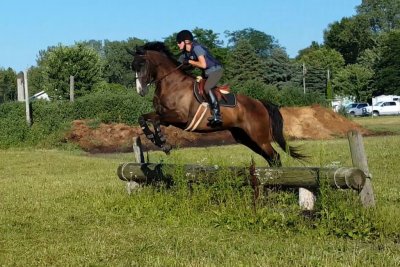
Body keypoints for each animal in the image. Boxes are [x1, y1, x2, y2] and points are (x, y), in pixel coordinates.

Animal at [130, 41, 304, 168]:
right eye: (133, 66)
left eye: (142, 64)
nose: (140, 91)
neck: (171, 83)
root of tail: (260, 103)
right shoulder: (164, 116)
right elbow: (144, 118)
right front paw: (154, 139)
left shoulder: (179, 117)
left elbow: (155, 121)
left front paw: (162, 143)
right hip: (245, 137)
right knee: (270, 158)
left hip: (259, 137)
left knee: (275, 156)